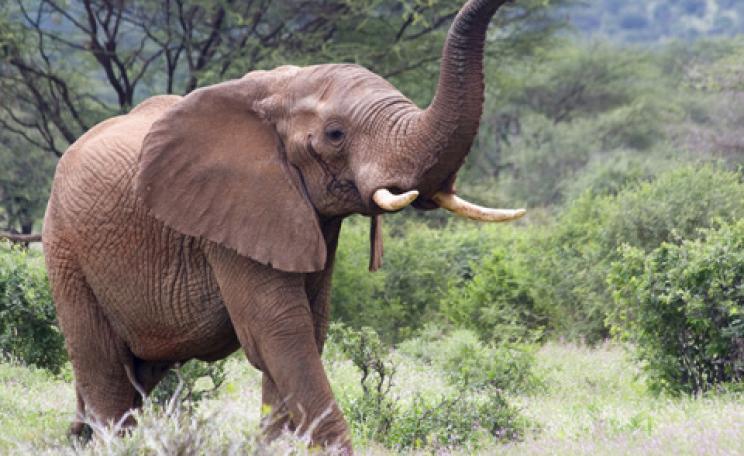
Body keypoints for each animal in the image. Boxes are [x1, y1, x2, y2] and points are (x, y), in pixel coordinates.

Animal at [42, 0, 524, 451]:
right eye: (335, 135)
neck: (280, 89)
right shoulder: (232, 217)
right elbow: (280, 332)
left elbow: (308, 329)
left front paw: (272, 445)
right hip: (65, 249)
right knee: (106, 371)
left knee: (140, 375)